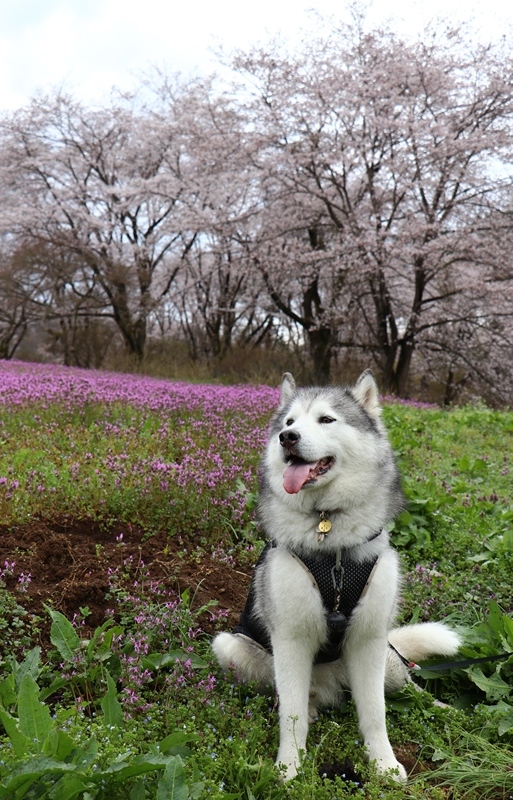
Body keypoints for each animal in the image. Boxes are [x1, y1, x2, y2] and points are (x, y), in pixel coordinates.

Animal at [212, 374, 460, 780]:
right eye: (289, 422)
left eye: (326, 419)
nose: (287, 439)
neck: (331, 538)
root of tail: (331, 686)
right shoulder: (290, 640)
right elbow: (292, 714)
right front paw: (289, 768)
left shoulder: (368, 640)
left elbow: (375, 713)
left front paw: (384, 764)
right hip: (230, 647)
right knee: (298, 698)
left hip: (387, 660)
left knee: (410, 684)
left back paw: (445, 711)